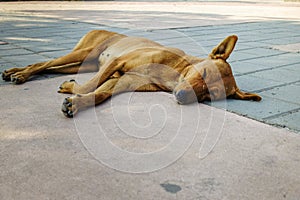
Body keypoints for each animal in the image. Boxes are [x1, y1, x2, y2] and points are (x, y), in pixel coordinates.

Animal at [1, 29, 260, 117]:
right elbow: (90, 86)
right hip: (83, 54)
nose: (182, 97)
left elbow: (99, 94)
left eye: (210, 96)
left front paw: (76, 101)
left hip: (82, 64)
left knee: (49, 66)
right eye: (204, 73)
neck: (172, 72)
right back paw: (20, 74)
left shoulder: (121, 81)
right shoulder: (118, 62)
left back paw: (14, 71)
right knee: (43, 63)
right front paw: (73, 91)